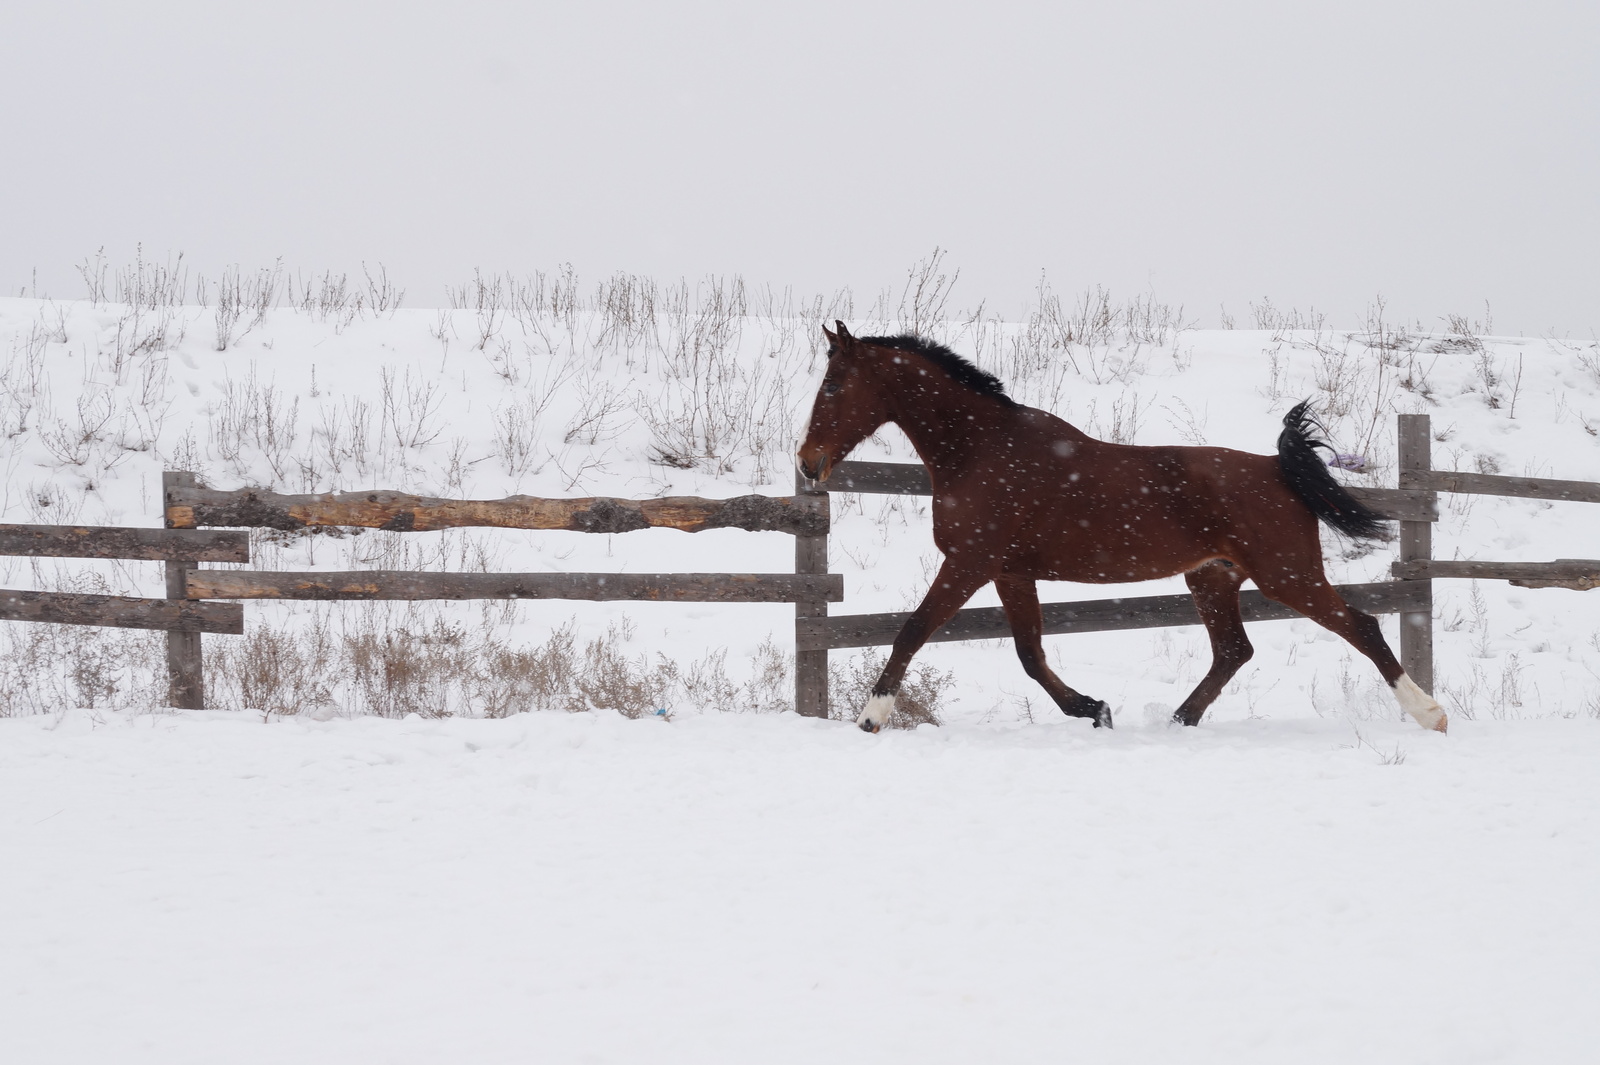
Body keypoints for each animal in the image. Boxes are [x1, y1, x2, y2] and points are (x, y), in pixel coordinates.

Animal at [800, 321, 1452, 729]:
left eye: (832, 384)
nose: (808, 462)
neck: (984, 450)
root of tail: (1276, 467)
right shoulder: (1010, 572)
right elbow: (1030, 653)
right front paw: (1095, 710)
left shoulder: (970, 563)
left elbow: (912, 630)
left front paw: (871, 718)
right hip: (1213, 578)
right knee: (1233, 651)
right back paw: (1179, 720)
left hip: (1287, 575)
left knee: (1361, 626)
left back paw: (1431, 715)